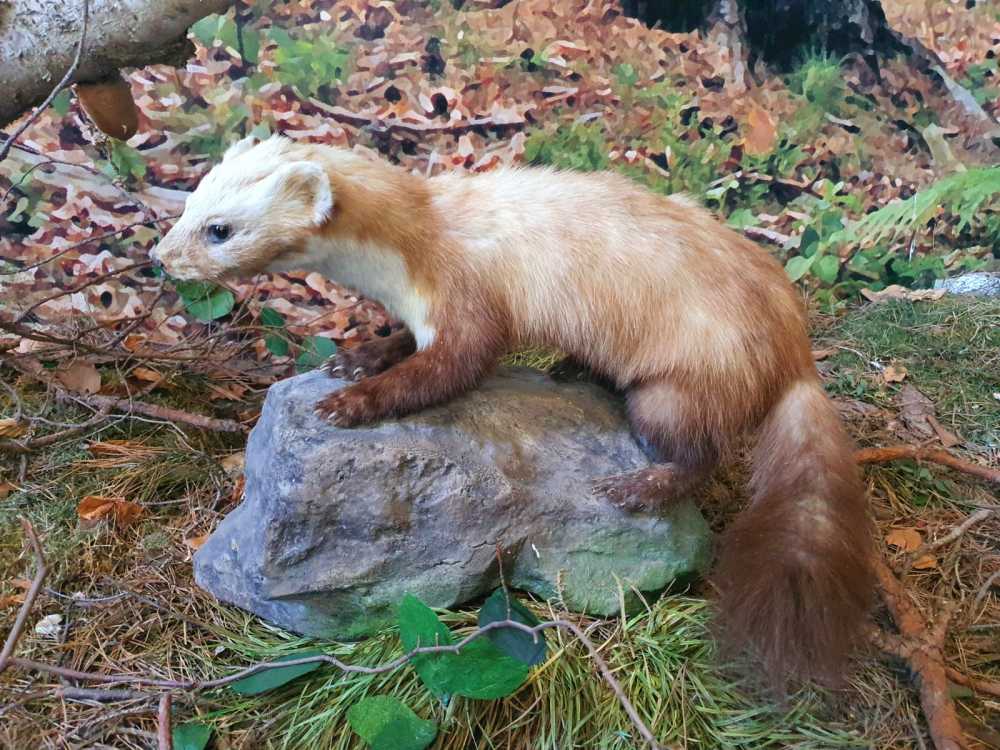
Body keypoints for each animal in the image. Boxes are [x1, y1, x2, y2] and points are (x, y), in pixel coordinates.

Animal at [152, 135, 874, 690]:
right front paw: (357, 358)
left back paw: (640, 485)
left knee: (703, 453)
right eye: (190, 200)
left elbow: (452, 368)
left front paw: (353, 402)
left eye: (221, 228)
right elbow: (401, 344)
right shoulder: (419, 313)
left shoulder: (465, 304)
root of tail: (794, 344)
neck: (406, 255)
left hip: (675, 388)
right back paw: (576, 370)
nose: (161, 256)